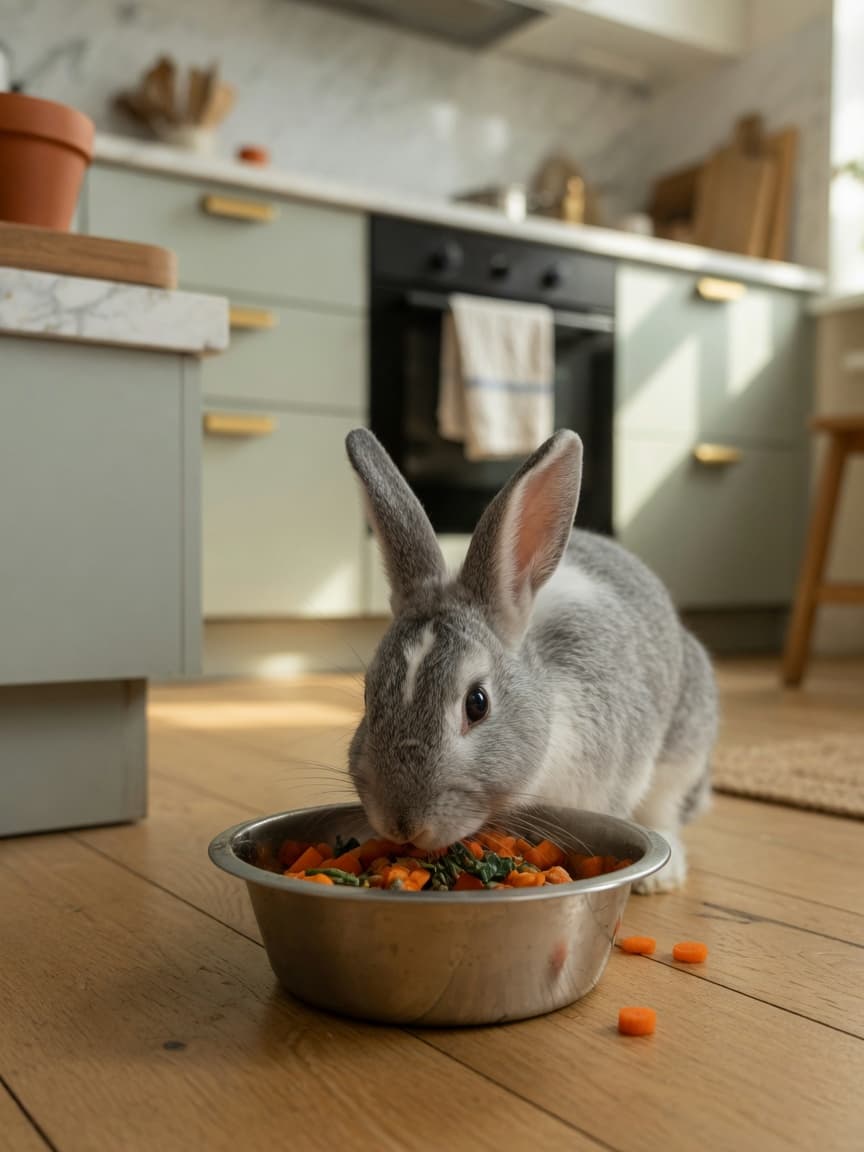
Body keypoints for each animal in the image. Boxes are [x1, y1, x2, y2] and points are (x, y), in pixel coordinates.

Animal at [345, 427, 718, 892]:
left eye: (477, 703)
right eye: (367, 697)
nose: (402, 824)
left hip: (684, 748)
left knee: (665, 809)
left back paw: (660, 877)